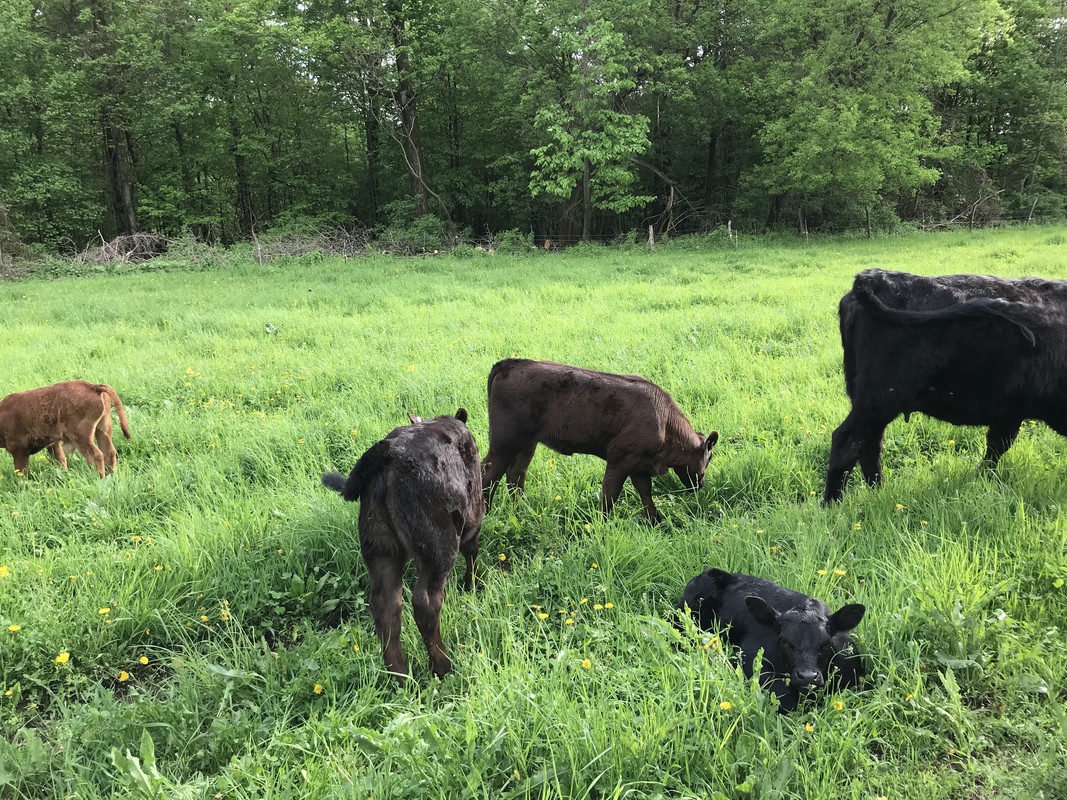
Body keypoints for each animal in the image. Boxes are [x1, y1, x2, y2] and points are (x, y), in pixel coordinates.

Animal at [0, 381, 131, 477]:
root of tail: (93, 386)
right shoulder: (53, 444)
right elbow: (60, 461)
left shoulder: (19, 450)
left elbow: (21, 473)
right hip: (103, 429)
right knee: (109, 452)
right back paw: (112, 477)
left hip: (81, 436)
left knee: (96, 455)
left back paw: (99, 478)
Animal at [321, 409, 483, 685]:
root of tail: (390, 451)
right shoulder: (474, 512)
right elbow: (472, 550)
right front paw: (472, 585)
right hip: (438, 545)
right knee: (426, 602)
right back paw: (442, 666)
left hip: (380, 547)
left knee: (386, 608)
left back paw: (400, 677)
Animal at [481, 358, 718, 523]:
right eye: (708, 459)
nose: (701, 485)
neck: (665, 422)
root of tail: (511, 363)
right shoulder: (620, 457)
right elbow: (610, 494)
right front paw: (601, 525)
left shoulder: (640, 464)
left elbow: (645, 492)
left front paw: (655, 521)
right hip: (505, 441)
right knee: (489, 472)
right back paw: (486, 512)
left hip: (527, 443)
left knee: (515, 474)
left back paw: (520, 510)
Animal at [824, 267, 1067, 503]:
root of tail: (873, 277)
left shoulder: (1010, 411)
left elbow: (996, 446)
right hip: (879, 398)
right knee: (847, 442)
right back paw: (832, 505)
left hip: (871, 402)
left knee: (870, 446)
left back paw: (879, 492)